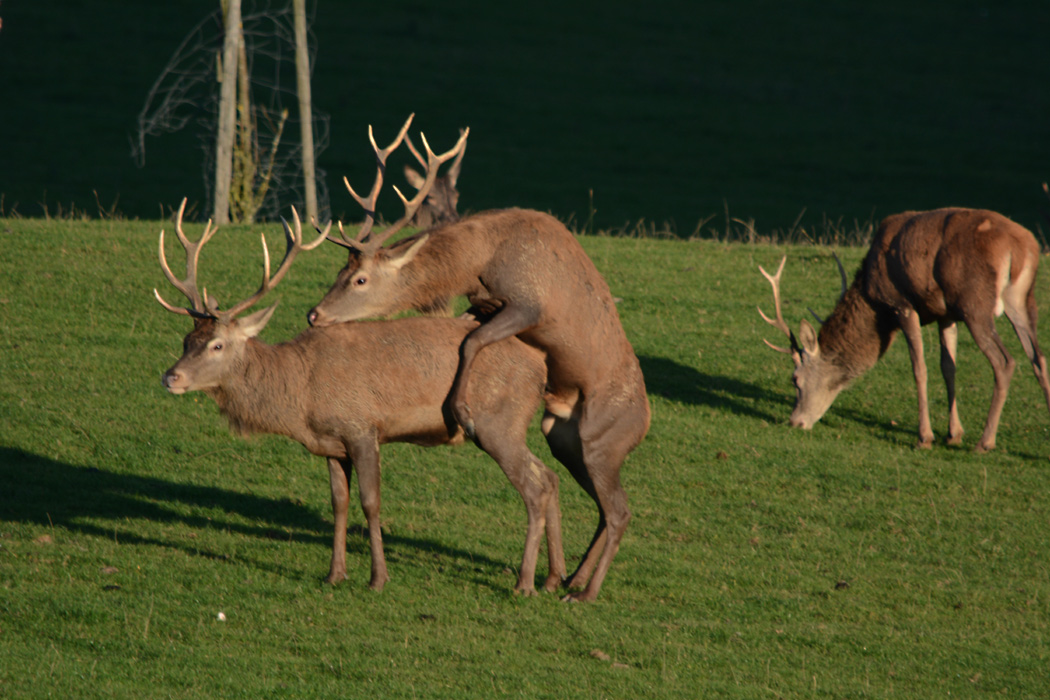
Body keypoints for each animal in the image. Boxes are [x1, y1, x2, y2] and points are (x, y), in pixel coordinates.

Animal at [153, 198, 567, 596]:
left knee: (534, 488)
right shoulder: (331, 444)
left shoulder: (362, 427)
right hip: (509, 426)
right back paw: (554, 577)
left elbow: (371, 502)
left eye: (217, 344)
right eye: (187, 340)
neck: (302, 396)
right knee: (549, 477)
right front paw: (335, 574)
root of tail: (540, 368)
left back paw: (524, 583)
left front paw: (377, 579)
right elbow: (339, 504)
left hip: (497, 421)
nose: (170, 376)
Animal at [306, 114, 646, 604]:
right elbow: (467, 333)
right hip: (563, 436)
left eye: (361, 279)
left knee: (618, 510)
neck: (478, 263)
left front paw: (461, 410)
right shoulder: (482, 305)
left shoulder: (529, 303)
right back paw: (568, 578)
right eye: (339, 271)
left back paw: (582, 592)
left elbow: (471, 343)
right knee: (600, 506)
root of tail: (645, 425)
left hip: (604, 439)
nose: (315, 314)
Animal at [760, 206, 1050, 455]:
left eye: (795, 379)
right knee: (1039, 359)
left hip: (975, 304)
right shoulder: (946, 314)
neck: (874, 303)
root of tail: (1023, 247)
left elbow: (919, 368)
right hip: (1021, 300)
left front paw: (925, 437)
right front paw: (953, 434)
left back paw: (985, 442)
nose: (795, 421)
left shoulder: (903, 305)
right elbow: (949, 367)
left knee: (1005, 362)